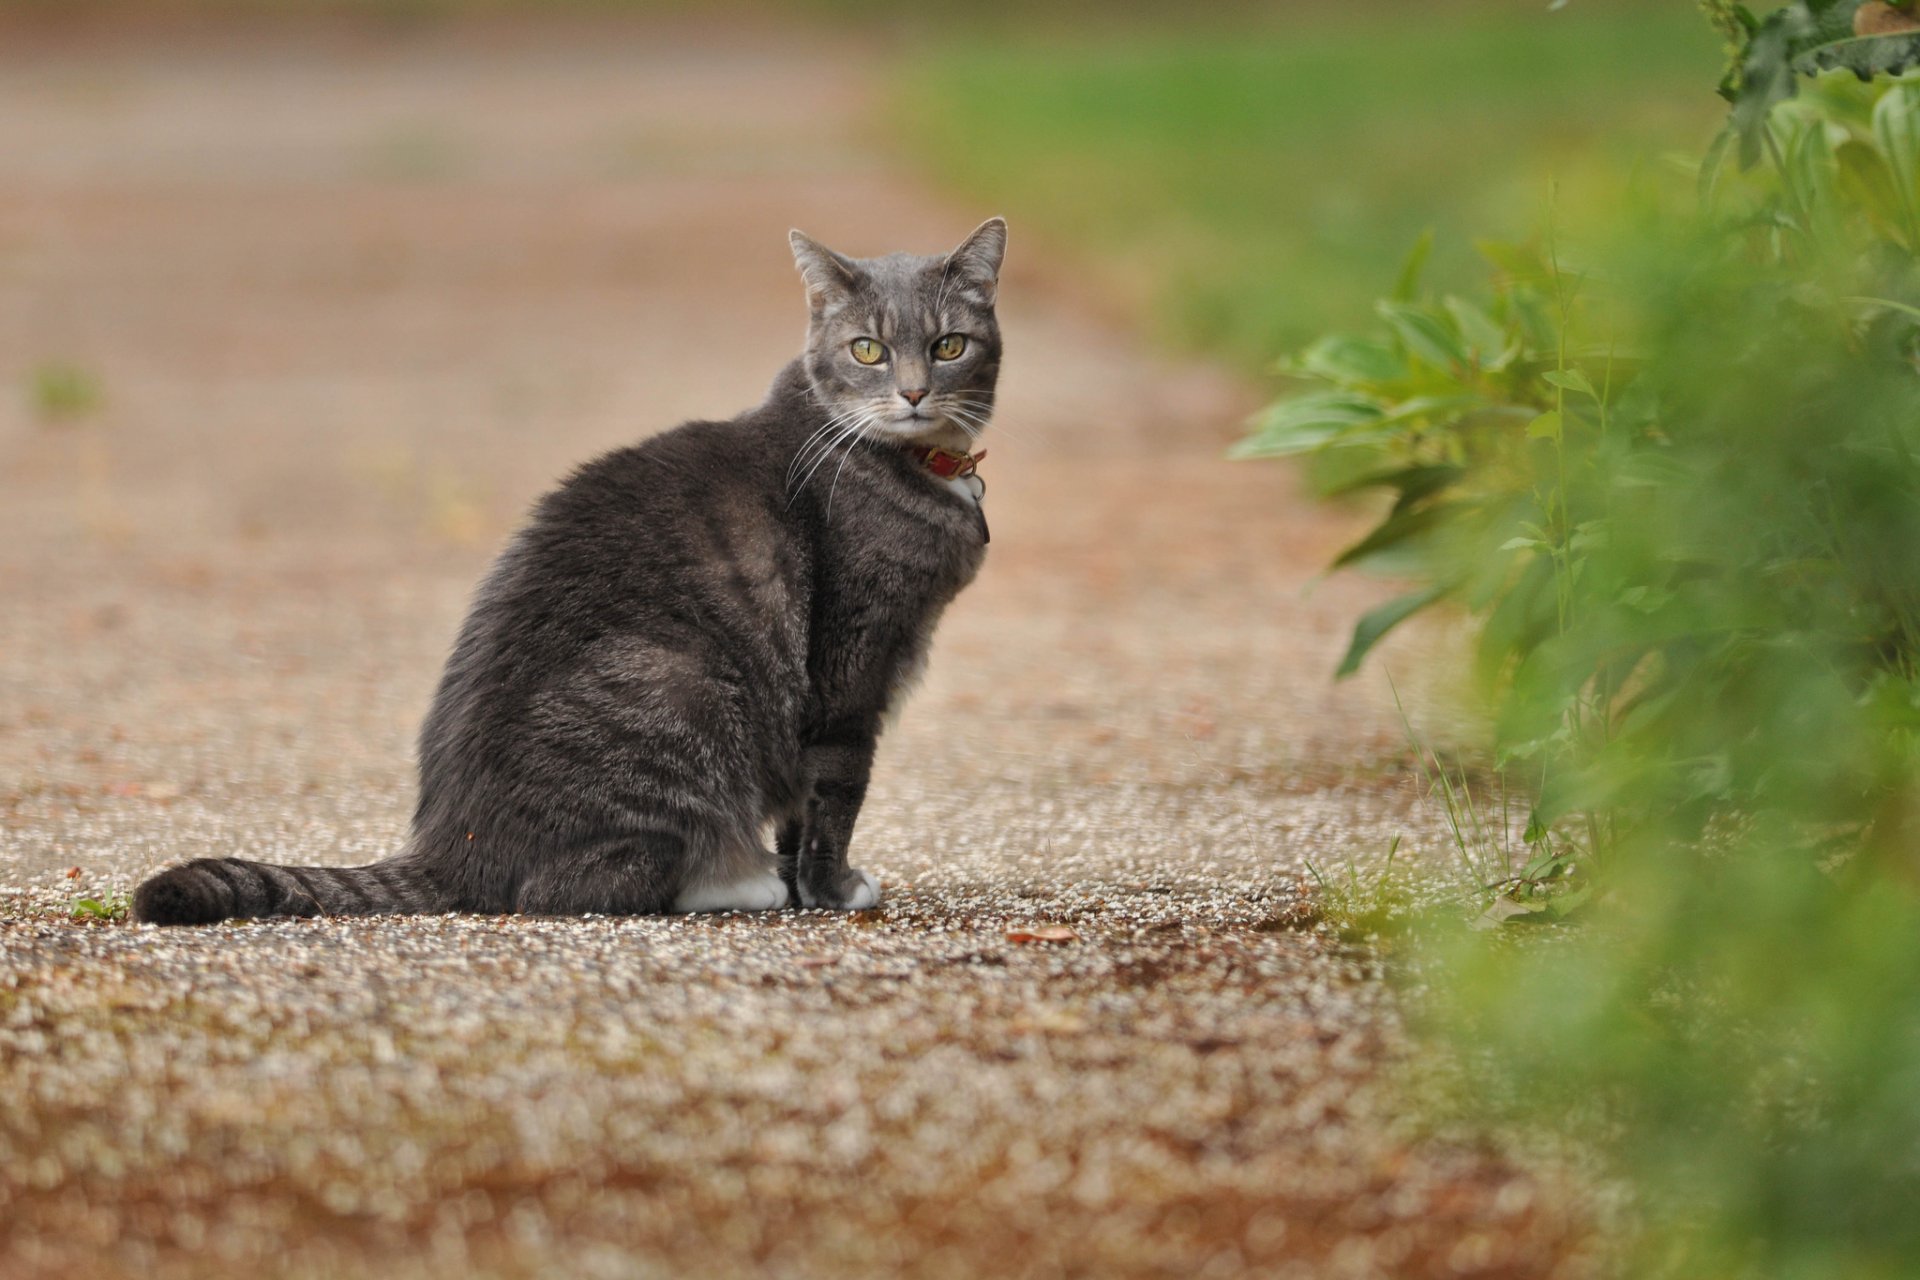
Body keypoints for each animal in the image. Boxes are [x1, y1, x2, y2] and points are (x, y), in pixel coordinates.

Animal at [133, 217, 1006, 921]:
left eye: (948, 345)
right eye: (867, 349)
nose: (914, 392)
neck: (917, 464)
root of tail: (456, 845)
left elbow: (803, 809)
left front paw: (803, 882)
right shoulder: (851, 670)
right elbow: (833, 793)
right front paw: (827, 889)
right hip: (678, 682)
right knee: (569, 887)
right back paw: (738, 879)